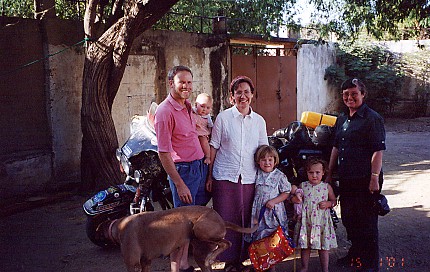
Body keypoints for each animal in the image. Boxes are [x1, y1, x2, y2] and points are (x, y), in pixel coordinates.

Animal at [104, 206, 256, 272]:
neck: (119, 226)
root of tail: (221, 220)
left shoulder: (133, 265)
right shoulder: (146, 262)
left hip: (200, 229)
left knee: (226, 243)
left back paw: (211, 257)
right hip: (199, 251)